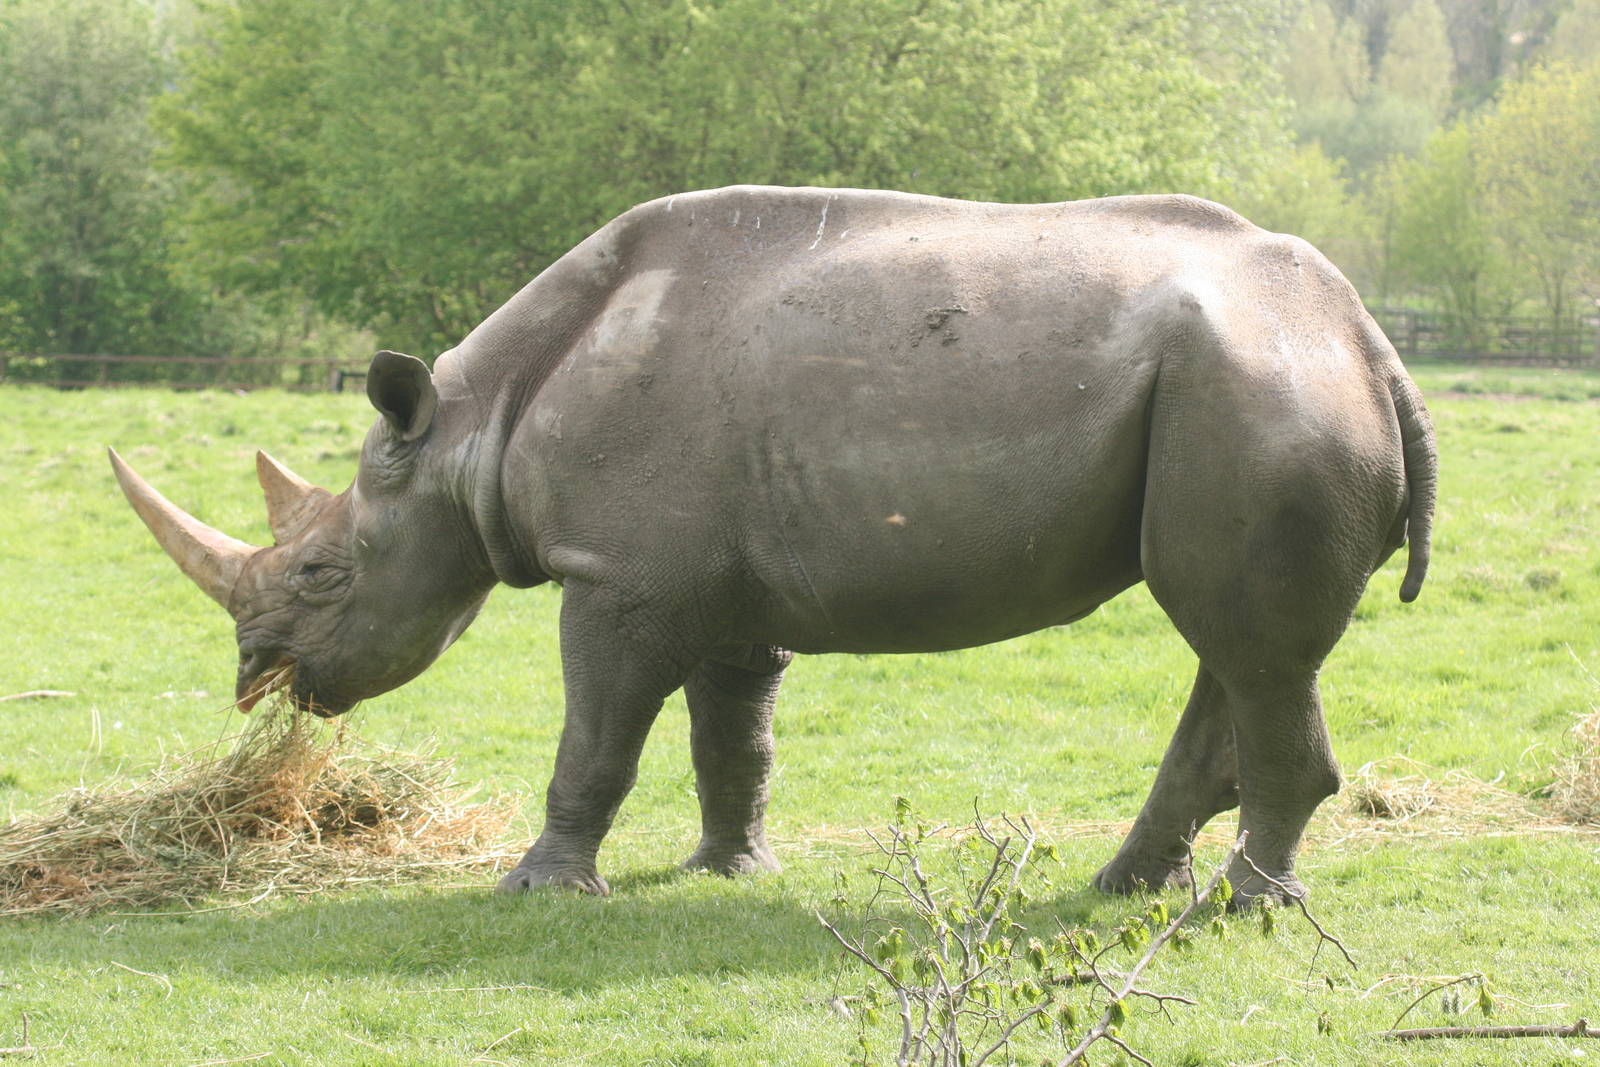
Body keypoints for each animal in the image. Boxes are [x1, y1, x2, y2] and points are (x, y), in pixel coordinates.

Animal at [111, 185, 1436, 903]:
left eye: (324, 572)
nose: (258, 678)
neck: (466, 431)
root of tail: (1371, 341)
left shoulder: (618, 580)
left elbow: (596, 736)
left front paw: (540, 886)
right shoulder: (709, 581)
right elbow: (728, 735)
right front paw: (724, 869)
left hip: (1264, 395)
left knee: (1246, 644)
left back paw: (1241, 908)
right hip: (1254, 390)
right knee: (1236, 639)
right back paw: (1128, 885)